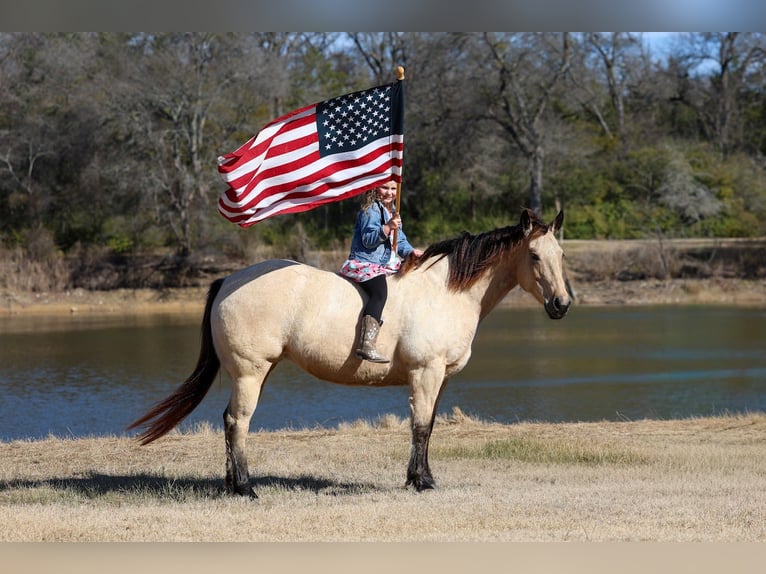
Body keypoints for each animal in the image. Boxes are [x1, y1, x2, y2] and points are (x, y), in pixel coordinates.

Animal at [128, 208, 571, 496]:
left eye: (561, 255)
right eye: (534, 255)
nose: (562, 305)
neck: (443, 292)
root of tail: (228, 280)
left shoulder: (439, 378)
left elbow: (428, 427)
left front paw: (423, 477)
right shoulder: (425, 373)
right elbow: (419, 427)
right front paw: (420, 482)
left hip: (256, 373)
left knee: (228, 420)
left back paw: (231, 485)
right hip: (250, 372)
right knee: (238, 423)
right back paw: (245, 488)